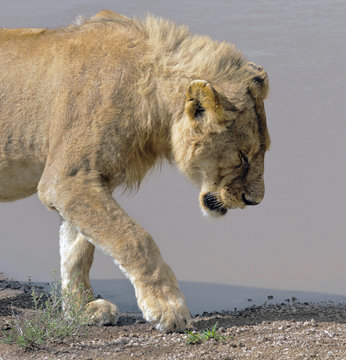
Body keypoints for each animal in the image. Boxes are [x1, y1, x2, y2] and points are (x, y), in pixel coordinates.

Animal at [0, 10, 270, 332]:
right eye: (242, 157)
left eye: (264, 150)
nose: (255, 201)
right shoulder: (66, 180)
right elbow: (135, 239)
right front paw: (167, 307)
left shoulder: (86, 181)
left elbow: (77, 249)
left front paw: (81, 310)